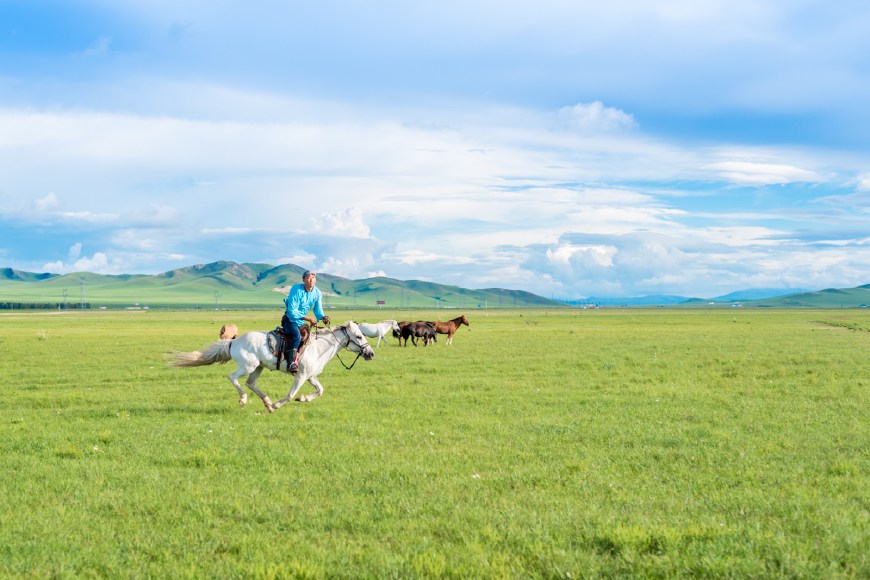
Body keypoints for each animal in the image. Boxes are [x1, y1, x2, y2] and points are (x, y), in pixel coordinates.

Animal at [168, 322, 374, 412]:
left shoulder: (310, 376)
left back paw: (266, 401)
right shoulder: (300, 376)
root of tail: (233, 342)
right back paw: (245, 400)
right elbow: (290, 395)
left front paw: (303, 398)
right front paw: (277, 405)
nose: (371, 353)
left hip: (258, 367)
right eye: (359, 336)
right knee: (233, 377)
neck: (318, 347)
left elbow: (320, 390)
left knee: (250, 383)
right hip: (248, 366)